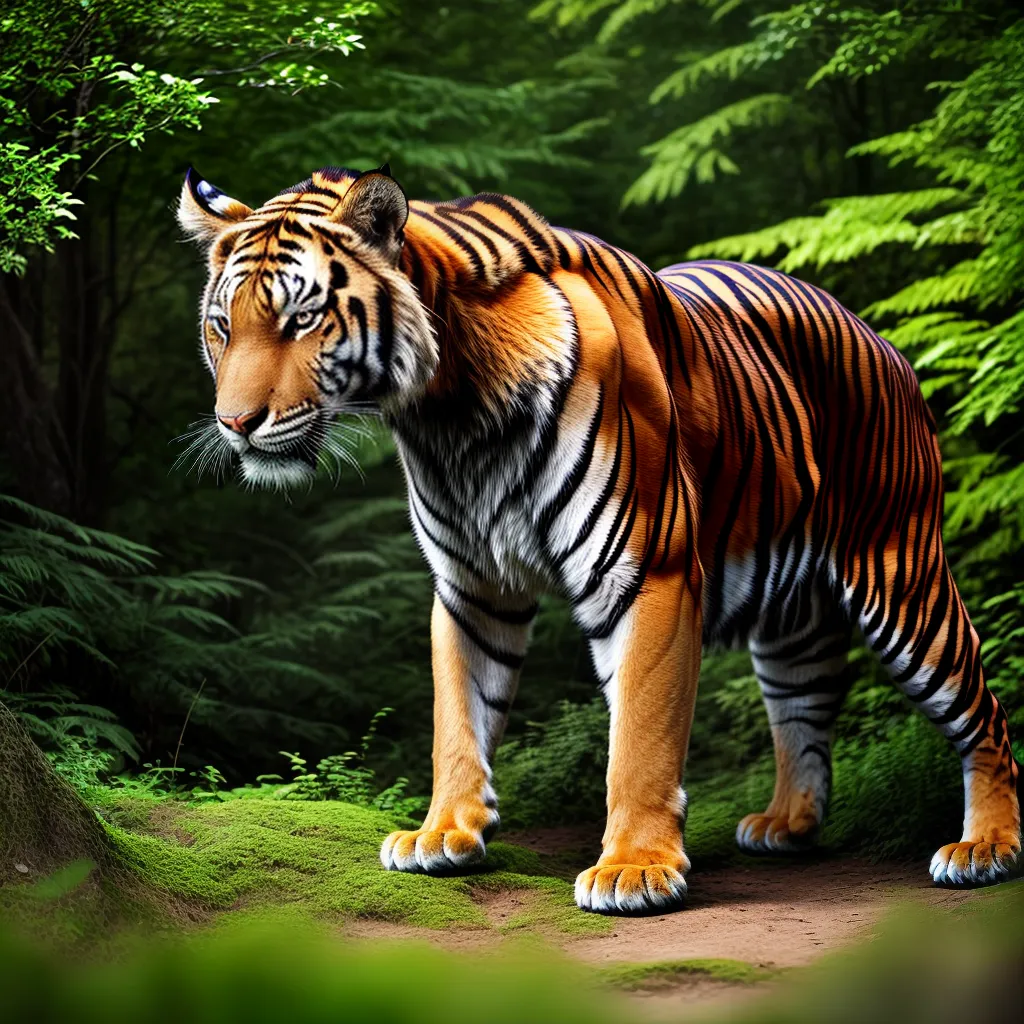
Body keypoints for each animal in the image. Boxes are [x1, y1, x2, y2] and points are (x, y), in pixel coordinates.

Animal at [177, 163, 1021, 914]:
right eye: (222, 326)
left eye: (301, 319)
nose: (235, 423)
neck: (448, 415)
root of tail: (878, 335)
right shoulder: (471, 589)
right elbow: (459, 717)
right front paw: (442, 834)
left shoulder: (648, 572)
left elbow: (640, 734)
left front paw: (635, 870)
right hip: (792, 613)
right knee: (802, 704)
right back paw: (787, 824)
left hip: (899, 574)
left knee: (983, 711)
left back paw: (986, 848)